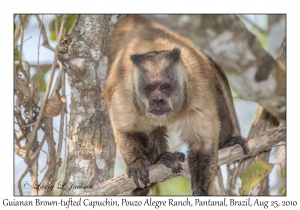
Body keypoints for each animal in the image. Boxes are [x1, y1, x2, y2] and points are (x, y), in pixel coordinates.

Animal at [101, 14, 248, 195]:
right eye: (149, 88)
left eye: (165, 86)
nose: (157, 99)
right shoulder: (125, 92)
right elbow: (127, 129)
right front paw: (137, 162)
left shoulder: (198, 89)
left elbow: (203, 144)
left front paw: (201, 190)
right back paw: (160, 158)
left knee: (218, 95)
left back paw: (227, 142)